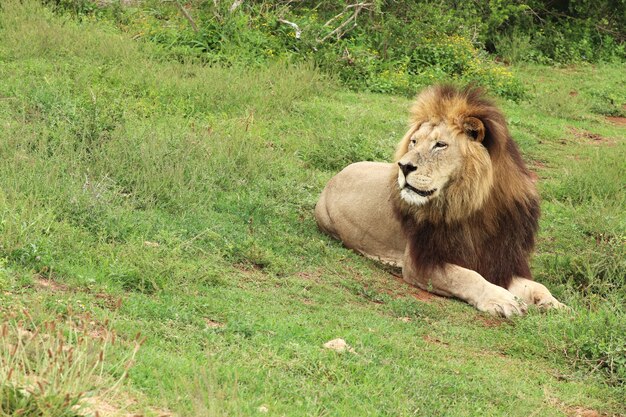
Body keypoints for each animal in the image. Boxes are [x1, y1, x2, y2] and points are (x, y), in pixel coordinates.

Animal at [314, 86, 564, 316]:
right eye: (414, 142)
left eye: (440, 145)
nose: (403, 166)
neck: (474, 207)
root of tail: (335, 176)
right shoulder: (421, 262)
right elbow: (467, 276)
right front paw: (501, 299)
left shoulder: (502, 260)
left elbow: (537, 287)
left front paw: (557, 306)